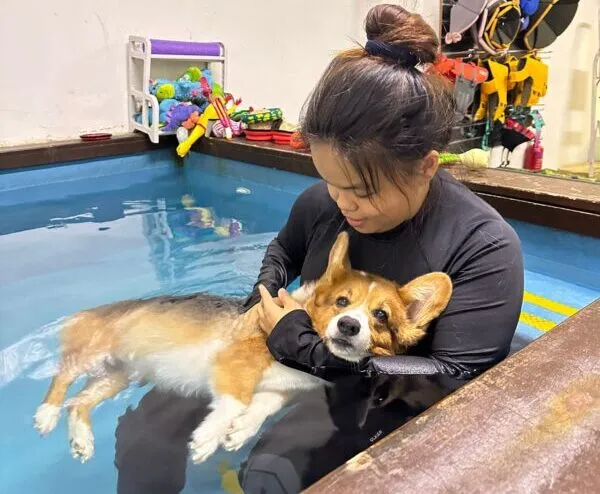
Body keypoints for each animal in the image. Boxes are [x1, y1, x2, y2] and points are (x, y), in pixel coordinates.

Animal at [32, 232, 450, 464]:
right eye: (342, 303)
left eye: (380, 315)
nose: (349, 326)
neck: (306, 349)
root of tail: (85, 311)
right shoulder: (234, 361)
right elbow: (234, 401)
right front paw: (208, 439)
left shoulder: (278, 390)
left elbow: (259, 409)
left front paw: (238, 434)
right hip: (94, 354)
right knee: (63, 378)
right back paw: (46, 415)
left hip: (118, 376)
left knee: (80, 402)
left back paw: (81, 439)